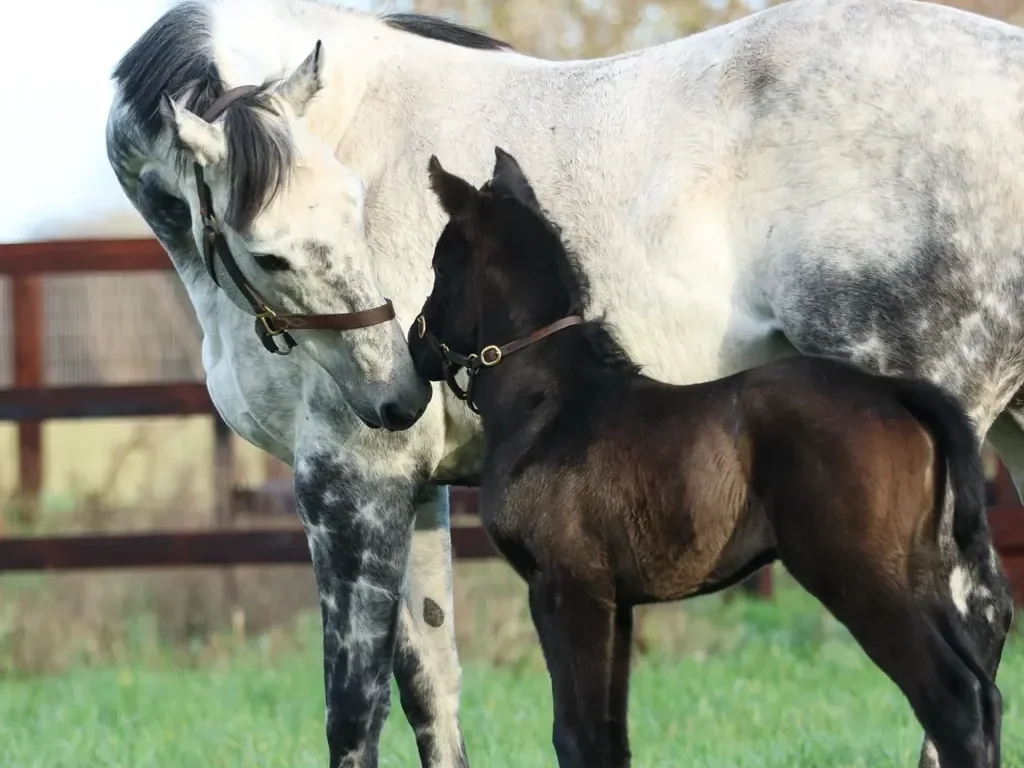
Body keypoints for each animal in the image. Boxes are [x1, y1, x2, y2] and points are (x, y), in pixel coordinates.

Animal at [410, 148, 1004, 768]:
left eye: (441, 268)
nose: (414, 344)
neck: (551, 401)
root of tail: (895, 391)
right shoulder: (617, 603)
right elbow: (611, 735)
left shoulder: (566, 587)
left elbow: (577, 734)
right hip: (921, 576)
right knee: (985, 693)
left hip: (861, 578)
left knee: (952, 698)